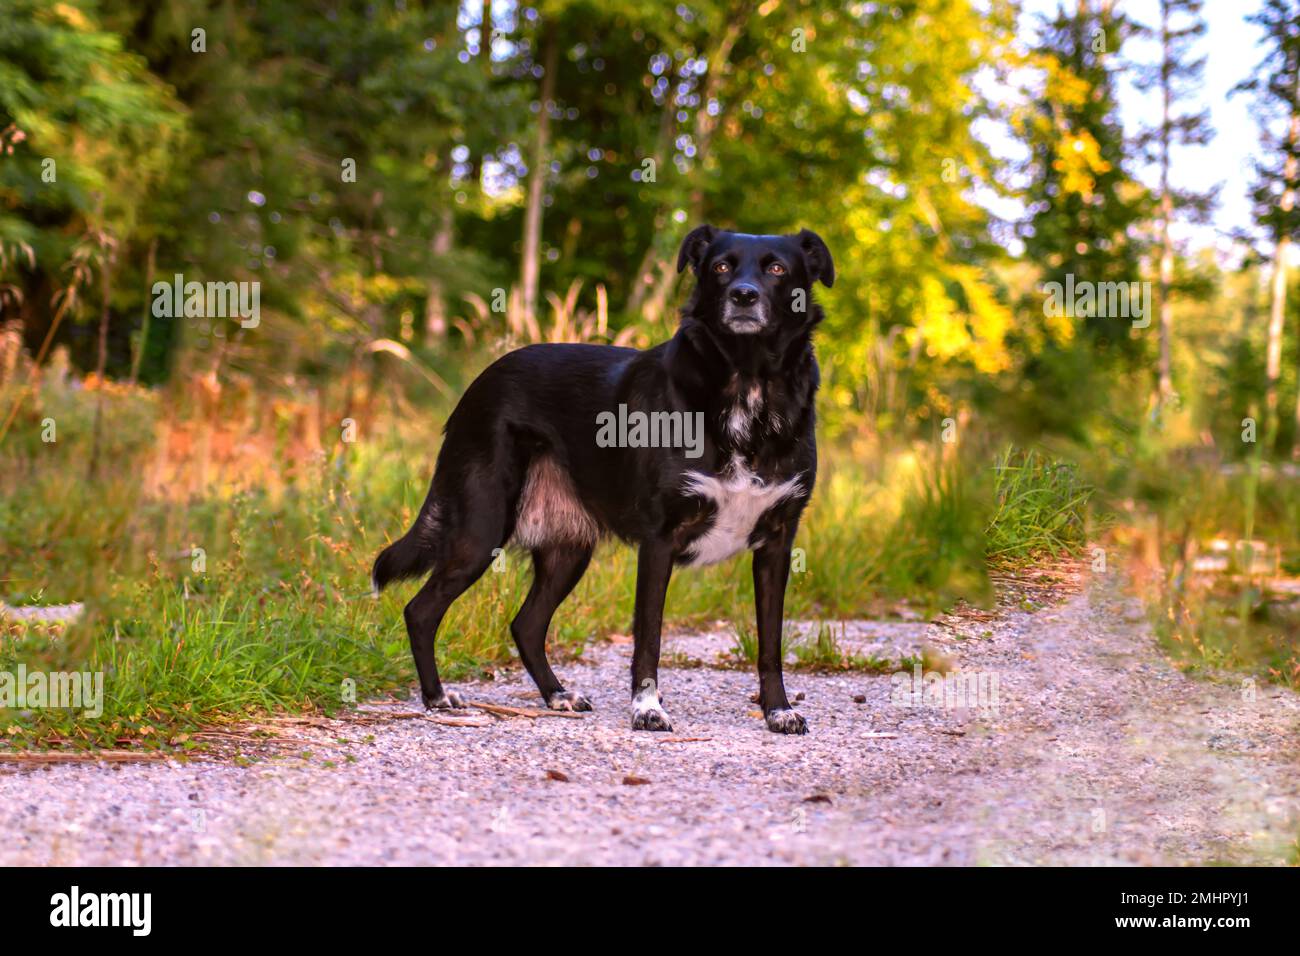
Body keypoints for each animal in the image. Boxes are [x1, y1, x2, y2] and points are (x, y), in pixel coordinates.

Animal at [374, 223, 832, 733]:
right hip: (481, 528)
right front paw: (647, 708)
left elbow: (771, 643)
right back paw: (437, 697)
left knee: (526, 624)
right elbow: (649, 638)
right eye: (721, 266)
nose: (744, 295)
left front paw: (779, 710)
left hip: (567, 548)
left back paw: (557, 695)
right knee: (421, 609)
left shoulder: (777, 543)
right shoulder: (660, 540)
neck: (747, 383)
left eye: (777, 268)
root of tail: (476, 385)